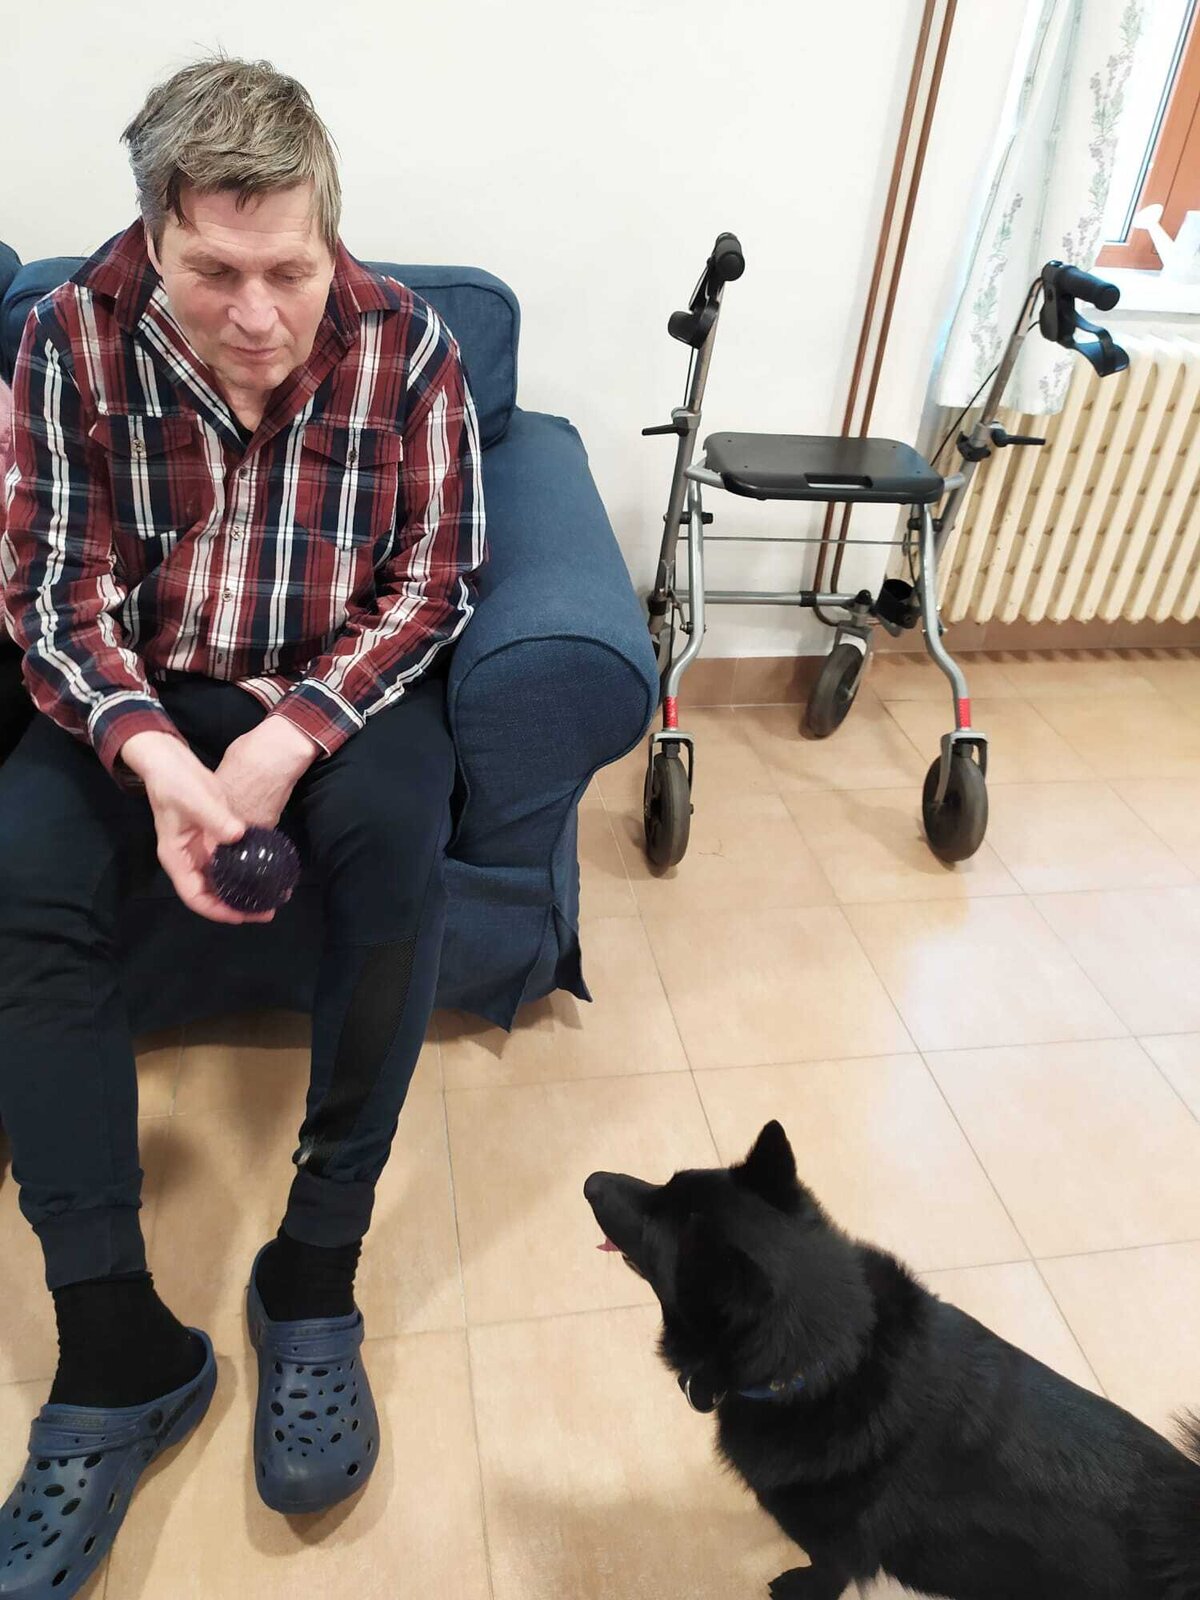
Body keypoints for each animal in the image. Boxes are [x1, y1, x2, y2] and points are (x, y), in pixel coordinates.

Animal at [584, 1121, 1200, 1600]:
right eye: (664, 1184)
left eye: (653, 1227)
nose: (589, 1182)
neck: (830, 1361)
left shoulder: (835, 1551)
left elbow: (825, 1572)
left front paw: (797, 1585)